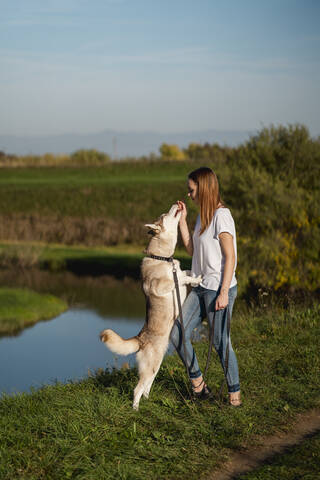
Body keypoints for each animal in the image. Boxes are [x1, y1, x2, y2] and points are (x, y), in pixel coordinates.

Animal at [99, 202, 201, 408]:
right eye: (164, 214)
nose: (176, 203)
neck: (162, 257)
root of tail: (140, 339)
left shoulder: (178, 270)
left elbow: (185, 271)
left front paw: (195, 277)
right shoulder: (162, 286)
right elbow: (180, 277)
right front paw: (196, 279)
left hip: (156, 365)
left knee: (146, 386)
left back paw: (148, 401)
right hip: (151, 365)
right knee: (137, 389)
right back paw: (136, 409)